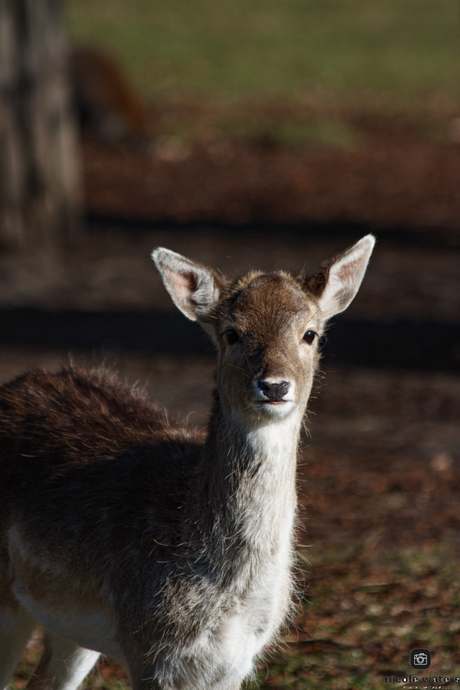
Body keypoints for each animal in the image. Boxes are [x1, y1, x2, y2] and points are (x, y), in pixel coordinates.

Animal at [0, 234, 374, 684]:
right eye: (232, 333)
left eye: (310, 334)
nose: (274, 386)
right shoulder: (148, 646)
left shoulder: (236, 662)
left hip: (71, 629)